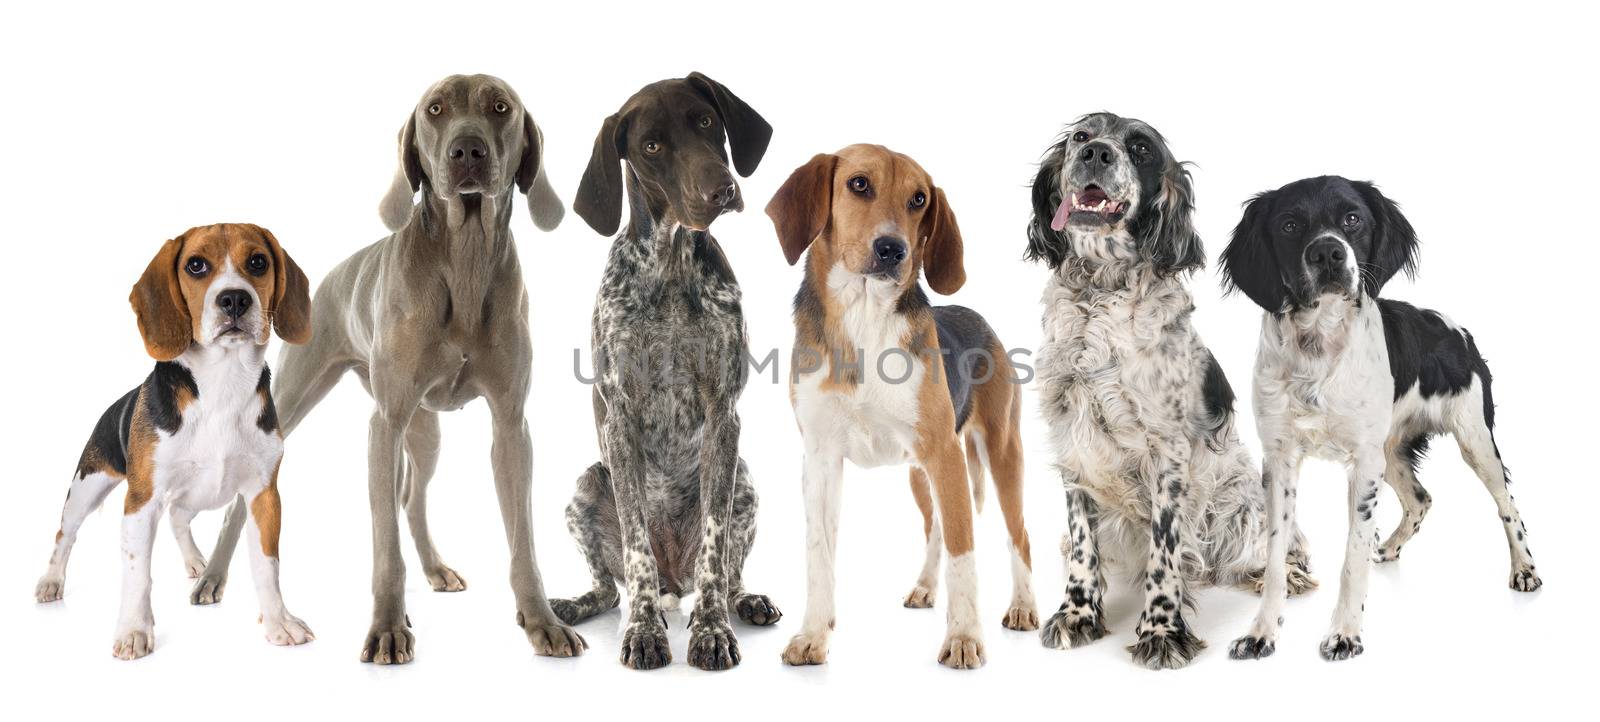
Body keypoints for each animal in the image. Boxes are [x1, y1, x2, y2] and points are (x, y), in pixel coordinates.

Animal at [1024, 110, 1312, 669]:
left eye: (1140, 149)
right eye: (1081, 136)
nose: (1096, 153)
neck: (1101, 291)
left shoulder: (1168, 452)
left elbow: (1164, 550)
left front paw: (1161, 630)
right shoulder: (1071, 438)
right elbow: (1083, 543)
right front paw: (1078, 613)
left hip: (1245, 506)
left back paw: (1282, 575)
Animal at [1216, 176, 1542, 662]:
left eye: (1353, 218)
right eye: (1289, 224)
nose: (1327, 253)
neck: (1319, 350)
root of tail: (1458, 331)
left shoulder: (1362, 463)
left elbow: (1351, 557)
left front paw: (1345, 634)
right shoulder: (1279, 459)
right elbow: (1275, 556)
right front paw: (1261, 633)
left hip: (1474, 441)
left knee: (1508, 506)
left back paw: (1524, 569)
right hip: (1390, 453)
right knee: (1421, 499)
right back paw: (1388, 547)